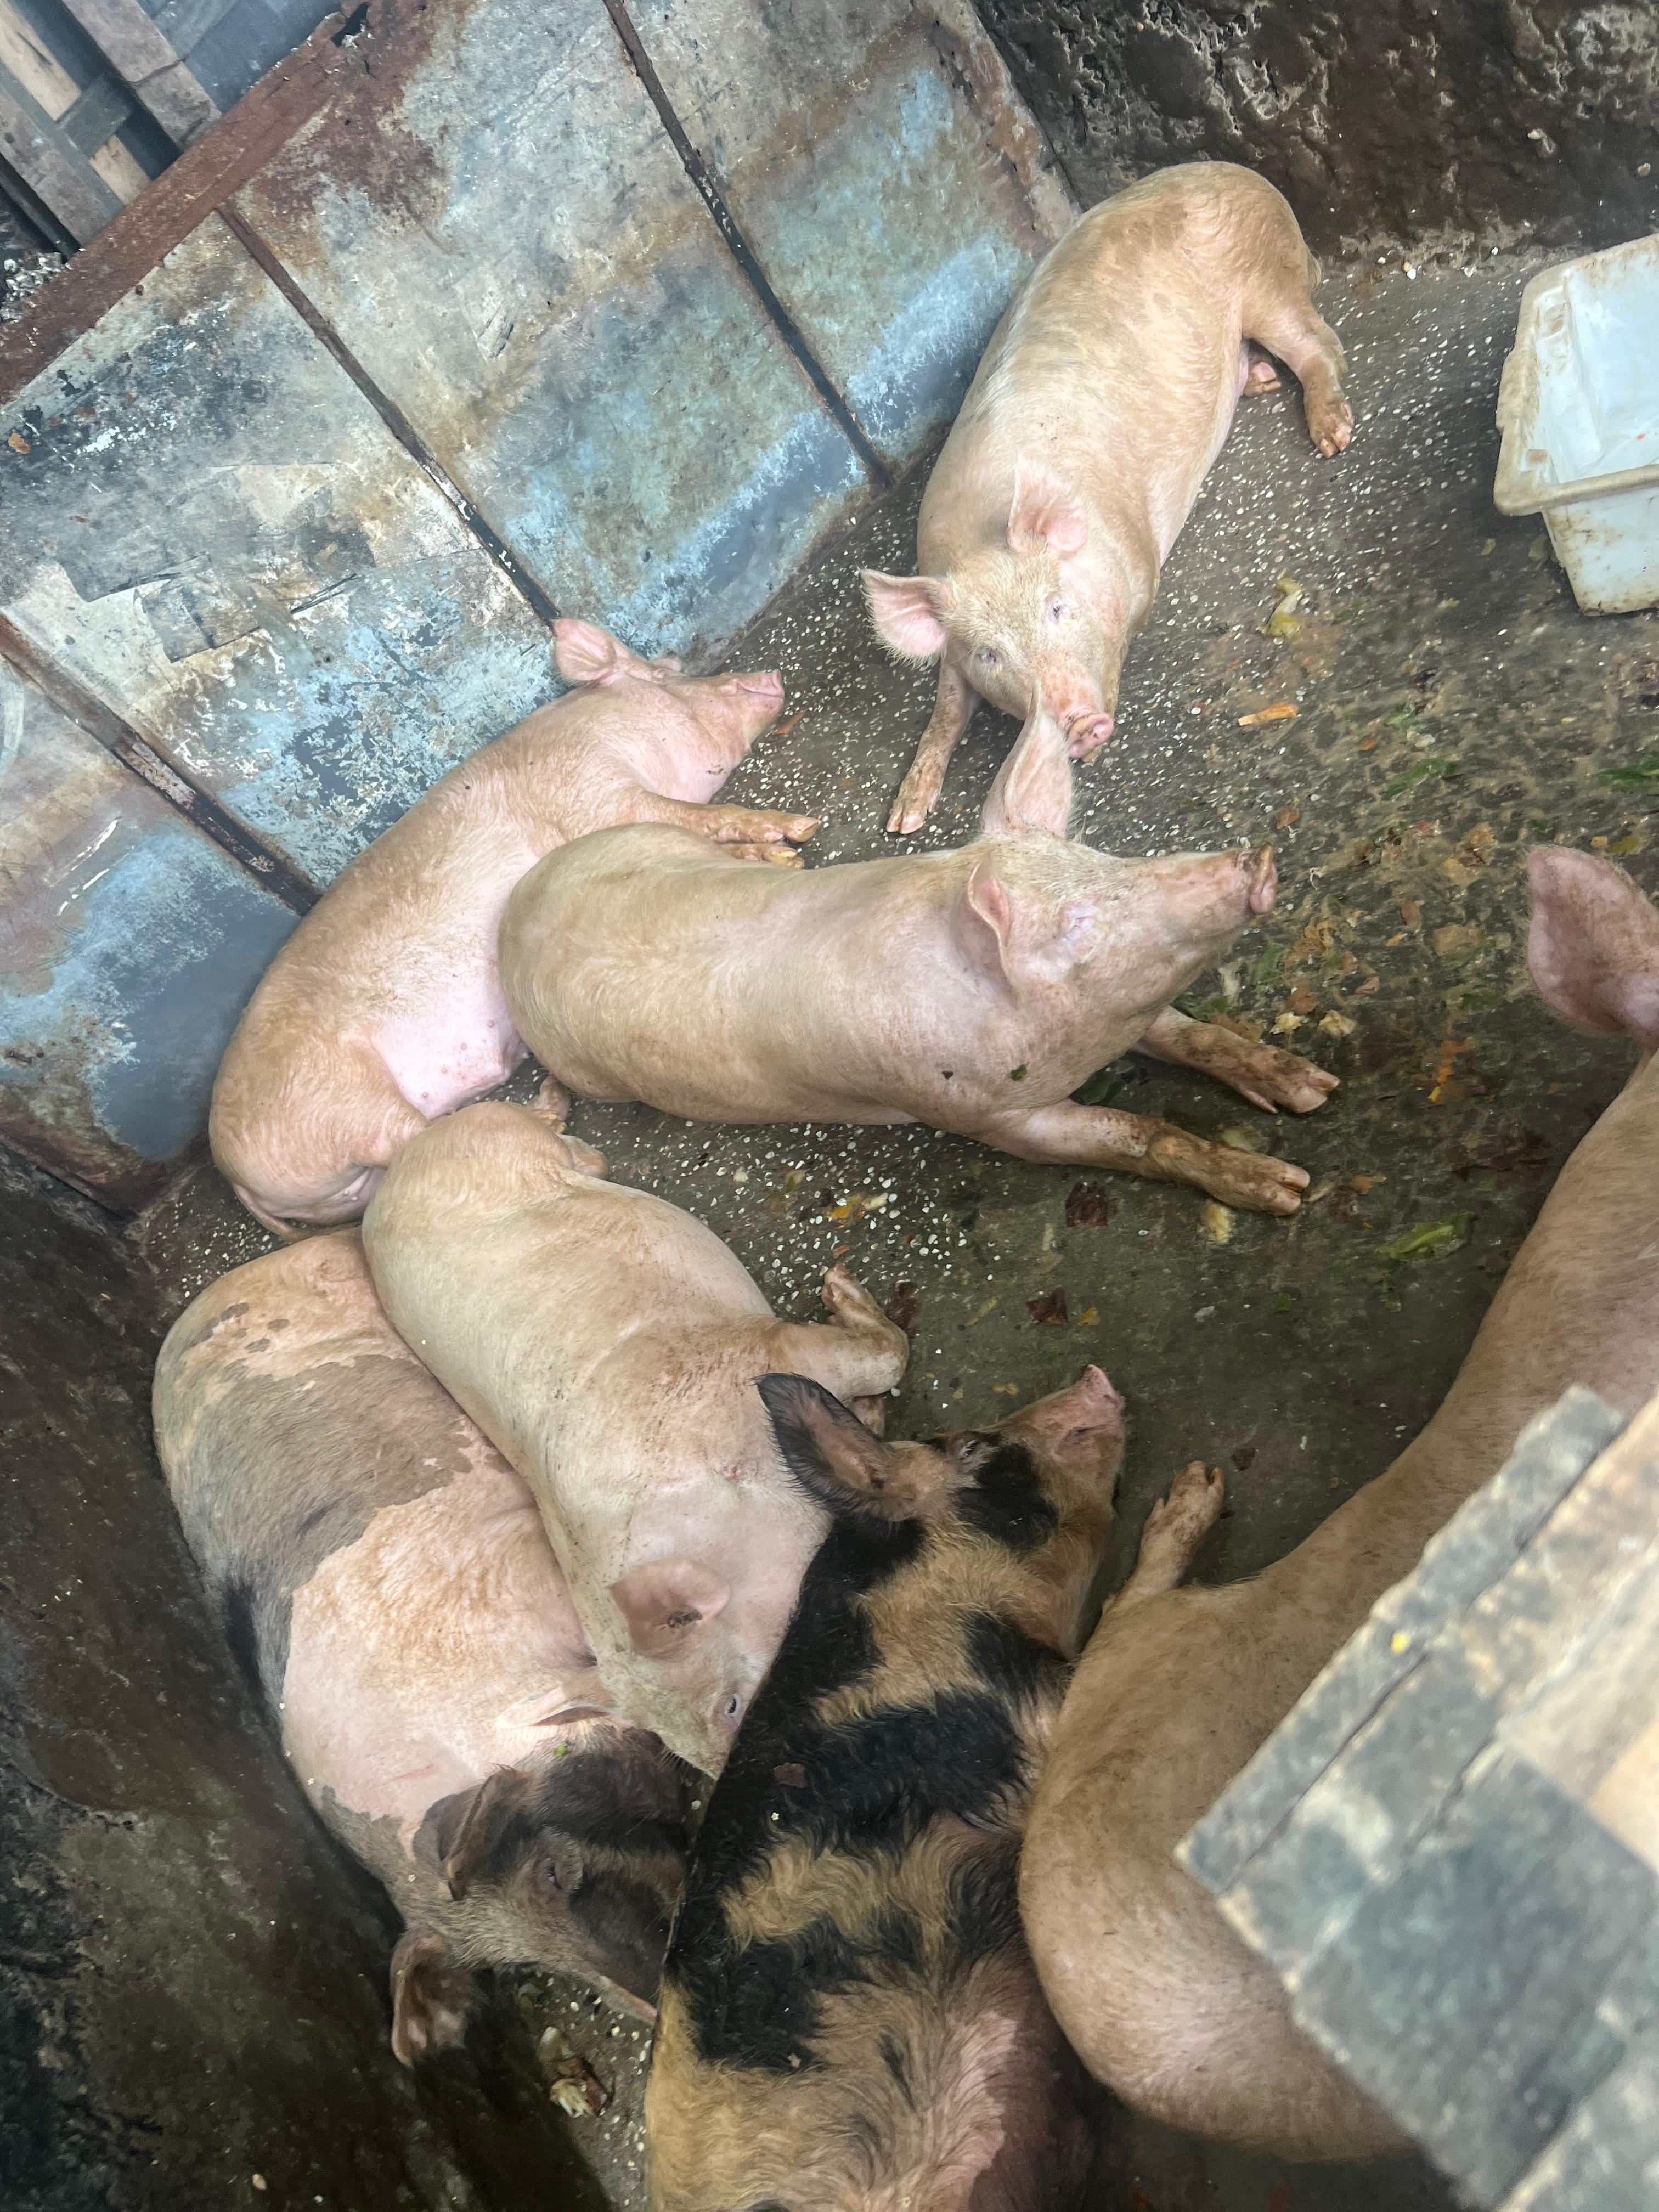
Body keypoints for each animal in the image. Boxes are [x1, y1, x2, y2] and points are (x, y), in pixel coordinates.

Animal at [209, 618, 817, 1238]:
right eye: (663, 676)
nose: (771, 674)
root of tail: (234, 1176)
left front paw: (786, 858)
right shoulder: (588, 793)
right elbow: (693, 816)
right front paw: (798, 832)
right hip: (339, 1107)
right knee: (418, 1133)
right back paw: (557, 1120)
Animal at [360, 1100, 911, 1776]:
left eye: (731, 1706)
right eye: (682, 1750)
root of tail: (403, 1159)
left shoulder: (763, 1352)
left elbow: (887, 1356)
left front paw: (839, 1288)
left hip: (503, 1131)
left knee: (571, 1147)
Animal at [497, 705, 1337, 1216]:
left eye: (1102, 856)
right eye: (1074, 923)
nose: (1257, 859)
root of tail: (511, 915)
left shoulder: (1123, 1009)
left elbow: (1191, 1034)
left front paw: (1314, 1091)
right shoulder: (989, 1118)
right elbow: (1139, 1135)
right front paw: (1289, 1190)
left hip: (653, 842)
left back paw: (788, 852)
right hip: (592, 1071)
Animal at [861, 162, 1352, 832]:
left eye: (1058, 607)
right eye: (990, 654)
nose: (1080, 723)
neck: (980, 540)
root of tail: (1243, 176)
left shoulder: (1141, 567)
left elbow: (1122, 638)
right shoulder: (954, 648)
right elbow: (945, 706)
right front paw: (906, 816)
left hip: (1267, 283)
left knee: (1319, 341)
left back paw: (1334, 438)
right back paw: (1260, 381)